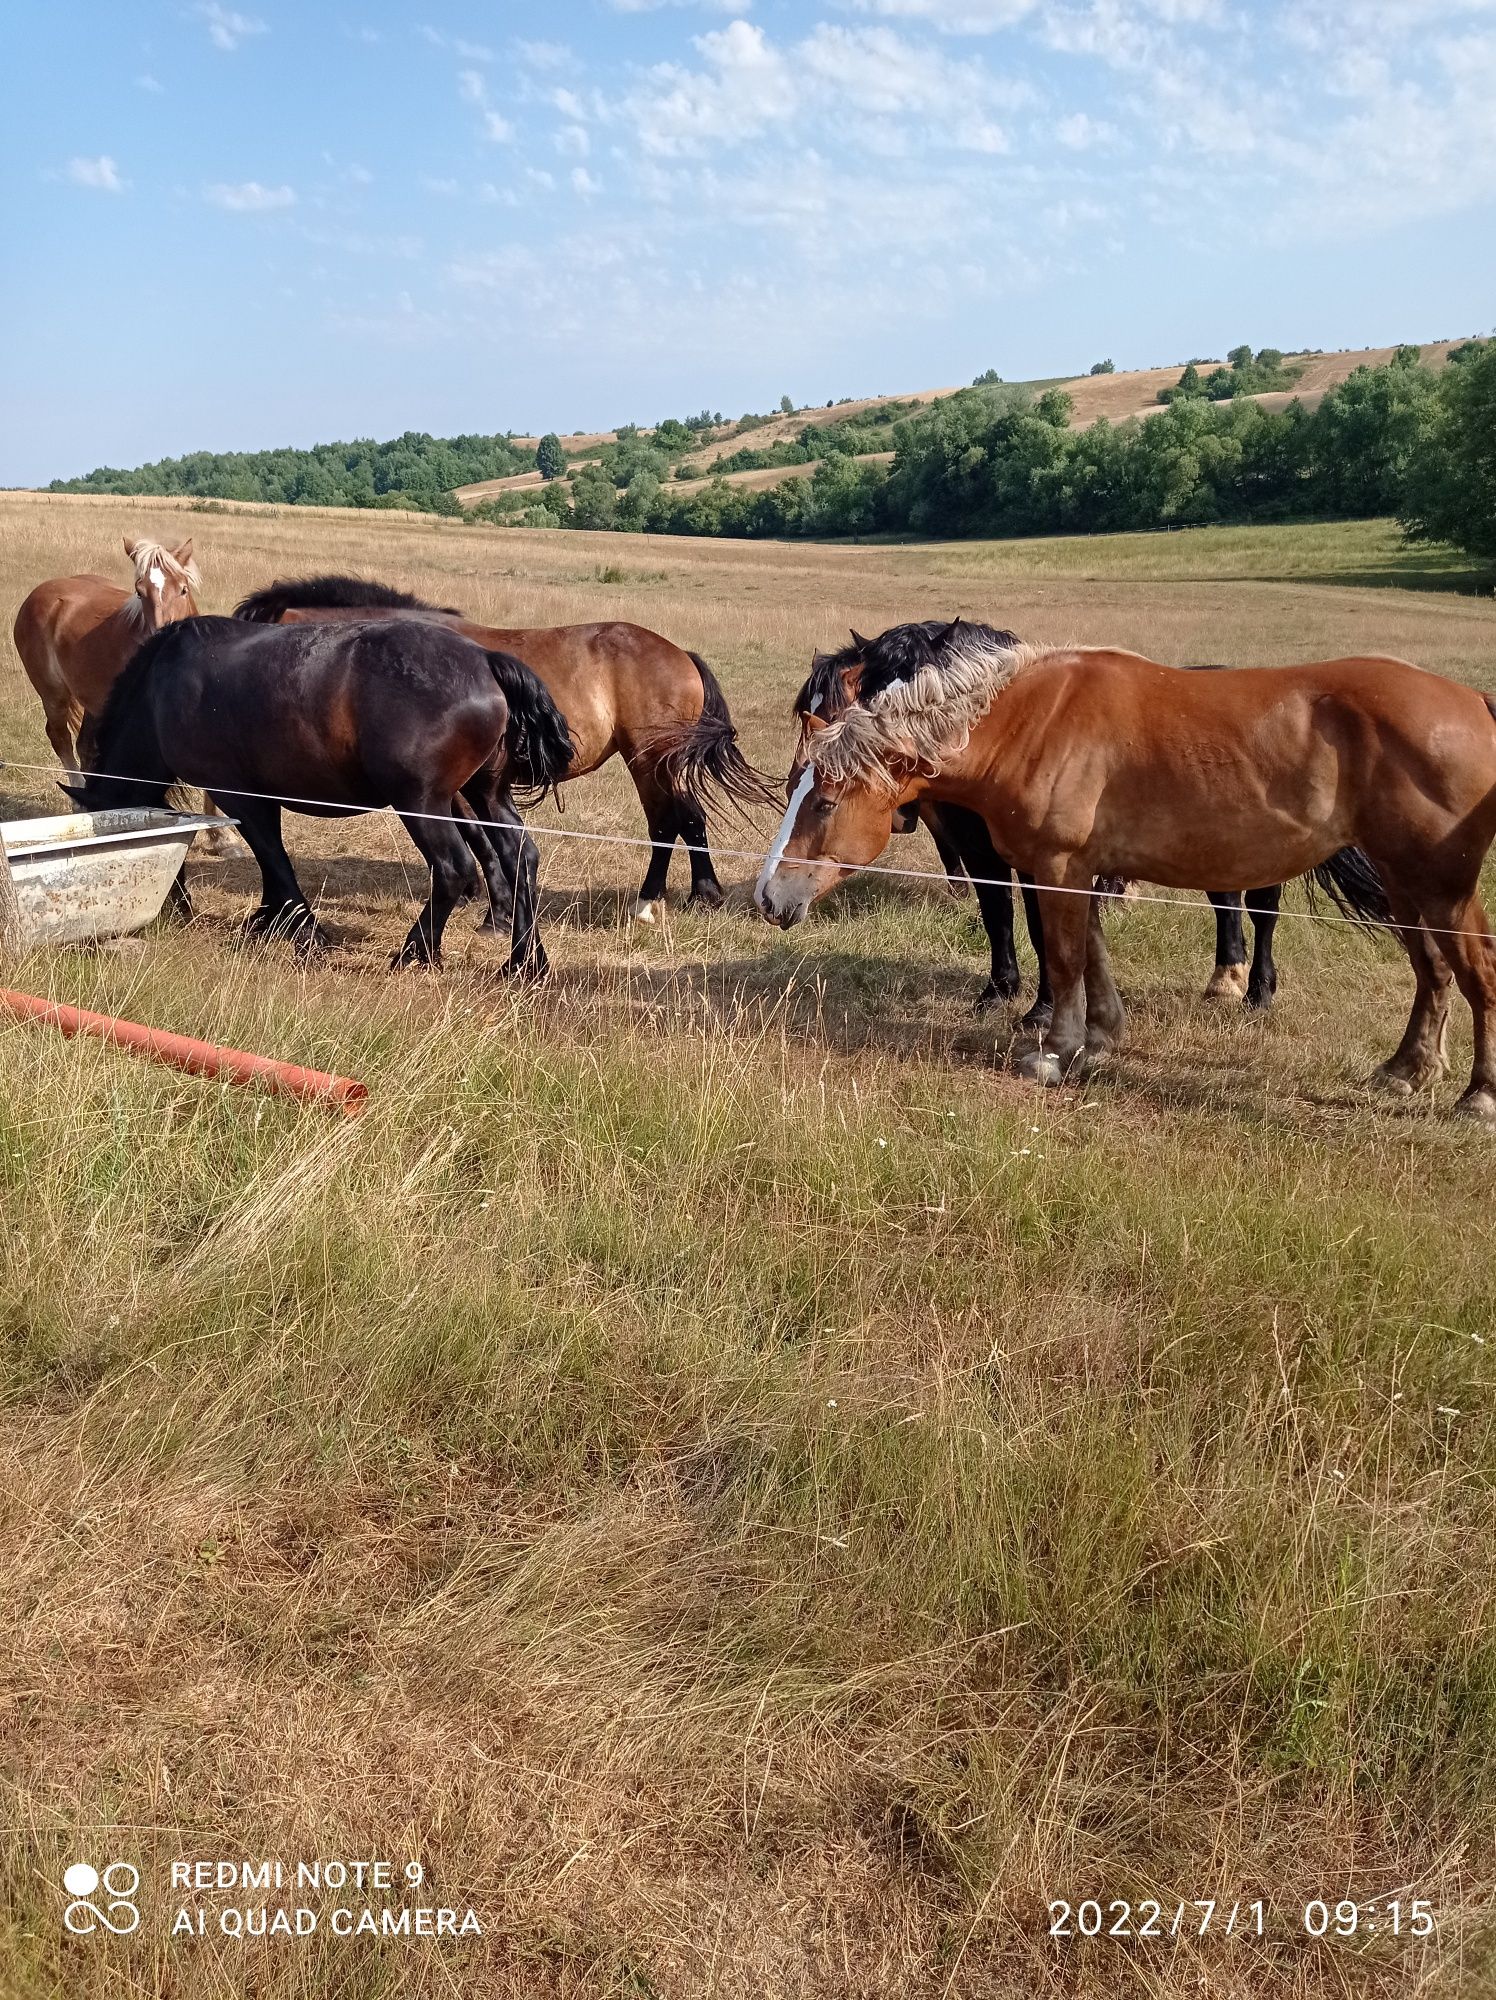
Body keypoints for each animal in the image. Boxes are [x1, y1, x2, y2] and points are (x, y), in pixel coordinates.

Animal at [61, 616, 572, 976]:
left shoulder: (238, 796)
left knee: (453, 869)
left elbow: (274, 857)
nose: (177, 912)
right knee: (520, 857)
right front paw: (268, 919)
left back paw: (413, 953)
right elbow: (272, 861)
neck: (161, 688)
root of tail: (485, 661)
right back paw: (525, 962)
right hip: (485, 795)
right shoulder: (259, 797)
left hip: (423, 802)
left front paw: (302, 929)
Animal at [234, 576, 776, 924]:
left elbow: (479, 840)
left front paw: (493, 910)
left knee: (670, 822)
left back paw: (660, 901)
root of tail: (679, 652)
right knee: (684, 819)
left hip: (650, 760)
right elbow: (484, 838)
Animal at [788, 624, 1384, 1032]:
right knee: (1226, 902)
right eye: (870, 690)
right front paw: (999, 990)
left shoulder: (1041, 860)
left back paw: (1258, 990)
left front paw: (1041, 1006)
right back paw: (1225, 980)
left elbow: (1039, 925)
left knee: (1261, 909)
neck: (1008, 739)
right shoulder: (983, 853)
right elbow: (997, 914)